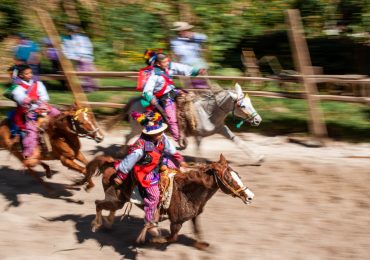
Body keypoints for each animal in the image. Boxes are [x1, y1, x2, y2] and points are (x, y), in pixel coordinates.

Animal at [85, 153, 253, 249]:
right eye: (229, 179)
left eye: (238, 175)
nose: (250, 196)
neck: (186, 191)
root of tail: (111, 163)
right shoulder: (176, 222)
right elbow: (172, 238)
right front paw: (153, 239)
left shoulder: (194, 216)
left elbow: (197, 230)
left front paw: (202, 245)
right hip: (115, 199)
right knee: (98, 203)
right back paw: (96, 225)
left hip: (118, 201)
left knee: (107, 208)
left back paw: (108, 223)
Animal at [112, 83, 264, 165]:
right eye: (242, 105)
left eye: (250, 102)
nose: (258, 120)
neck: (207, 111)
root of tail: (134, 100)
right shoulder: (198, 135)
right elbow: (198, 150)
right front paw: (199, 165)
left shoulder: (221, 128)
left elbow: (238, 141)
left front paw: (258, 158)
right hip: (138, 128)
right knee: (128, 137)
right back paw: (121, 153)